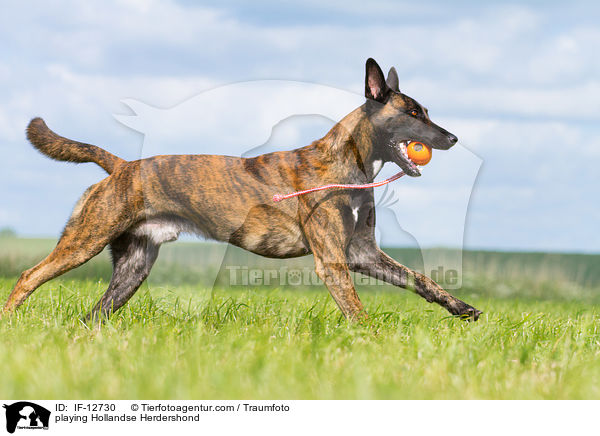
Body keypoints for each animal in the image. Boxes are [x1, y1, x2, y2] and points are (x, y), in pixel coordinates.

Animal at [1, 58, 482, 320]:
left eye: (426, 112)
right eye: (413, 114)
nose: (453, 138)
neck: (348, 162)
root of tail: (120, 167)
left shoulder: (361, 253)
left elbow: (420, 279)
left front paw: (460, 307)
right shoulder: (334, 262)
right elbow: (358, 312)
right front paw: (371, 343)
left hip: (133, 266)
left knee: (93, 316)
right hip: (84, 240)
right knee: (28, 277)